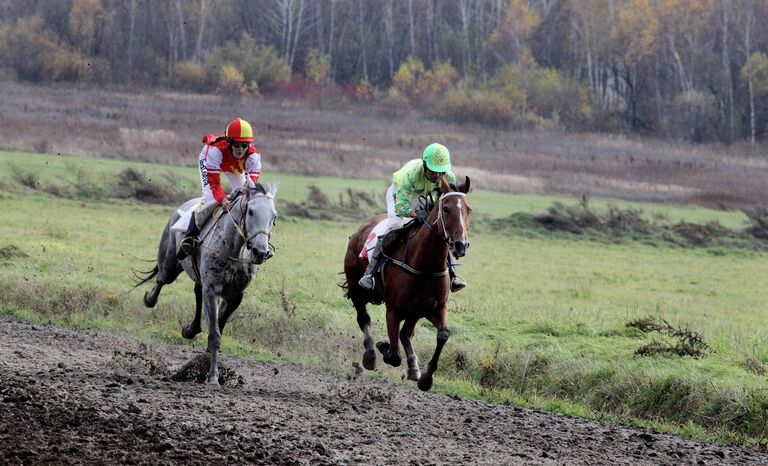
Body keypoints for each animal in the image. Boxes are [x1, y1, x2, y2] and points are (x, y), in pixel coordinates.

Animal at [136, 180, 280, 384]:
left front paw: (206, 362)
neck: (233, 250)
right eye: (251, 211)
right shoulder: (212, 290)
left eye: (274, 216)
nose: (260, 252)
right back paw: (149, 299)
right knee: (162, 279)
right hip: (170, 263)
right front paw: (212, 377)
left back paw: (191, 329)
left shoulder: (235, 296)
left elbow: (219, 324)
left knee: (197, 291)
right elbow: (214, 334)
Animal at [344, 177, 472, 392]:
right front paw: (384, 347)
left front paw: (426, 378)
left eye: (468, 209)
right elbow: (394, 356)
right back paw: (370, 355)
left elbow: (443, 334)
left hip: (415, 310)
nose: (460, 245)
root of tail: (360, 230)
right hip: (355, 288)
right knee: (364, 319)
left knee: (405, 334)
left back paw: (412, 366)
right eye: (446, 209)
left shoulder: (435, 307)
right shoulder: (393, 310)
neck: (424, 264)